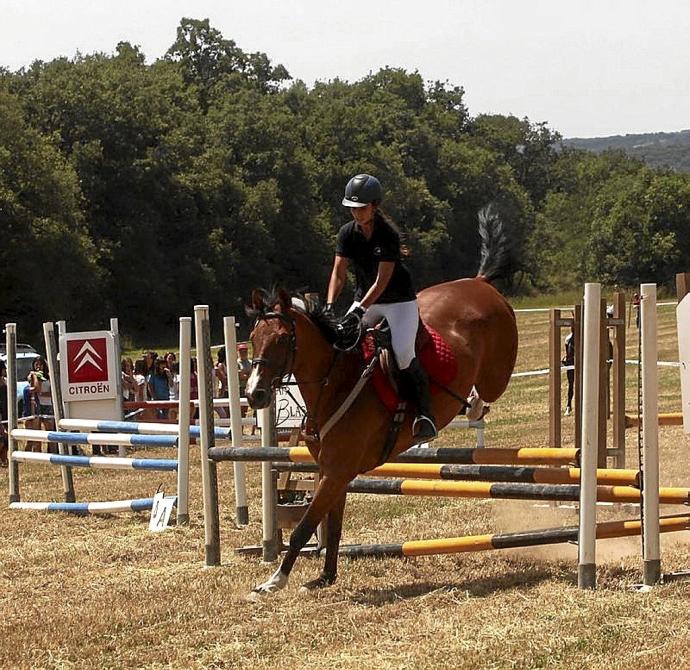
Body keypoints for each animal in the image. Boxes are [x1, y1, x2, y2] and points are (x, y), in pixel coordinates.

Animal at [243, 210, 516, 600]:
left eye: (281, 340)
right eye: (253, 338)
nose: (255, 394)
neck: (335, 380)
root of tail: (478, 283)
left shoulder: (337, 471)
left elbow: (304, 527)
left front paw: (274, 580)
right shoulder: (334, 472)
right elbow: (332, 525)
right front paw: (324, 577)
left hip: (497, 369)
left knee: (490, 390)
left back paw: (474, 405)